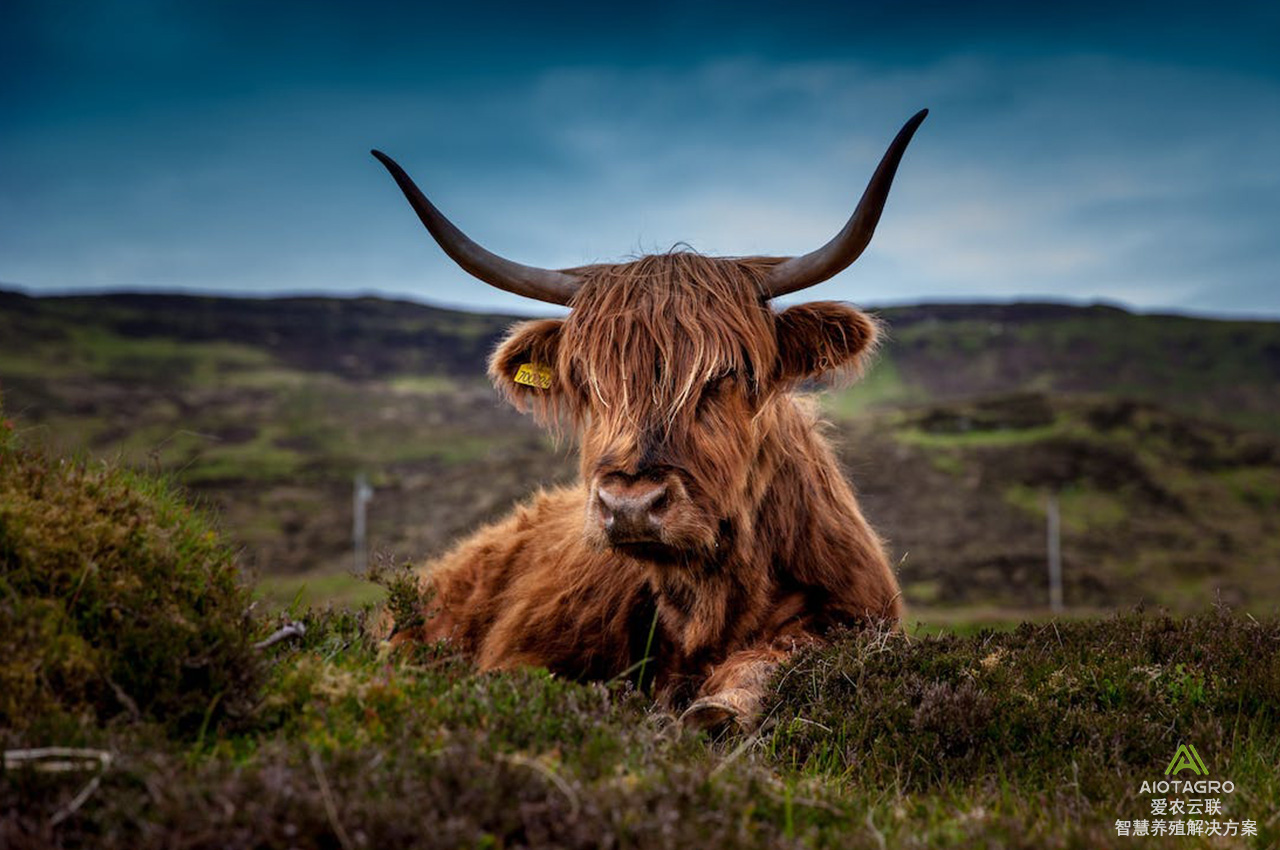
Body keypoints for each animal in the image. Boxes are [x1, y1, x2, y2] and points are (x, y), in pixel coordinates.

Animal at [373, 108, 926, 732]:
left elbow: (782, 655)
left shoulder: (858, 618)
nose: (630, 505)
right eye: (587, 380)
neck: (708, 602)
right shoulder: (520, 657)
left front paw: (719, 707)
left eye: (728, 373)